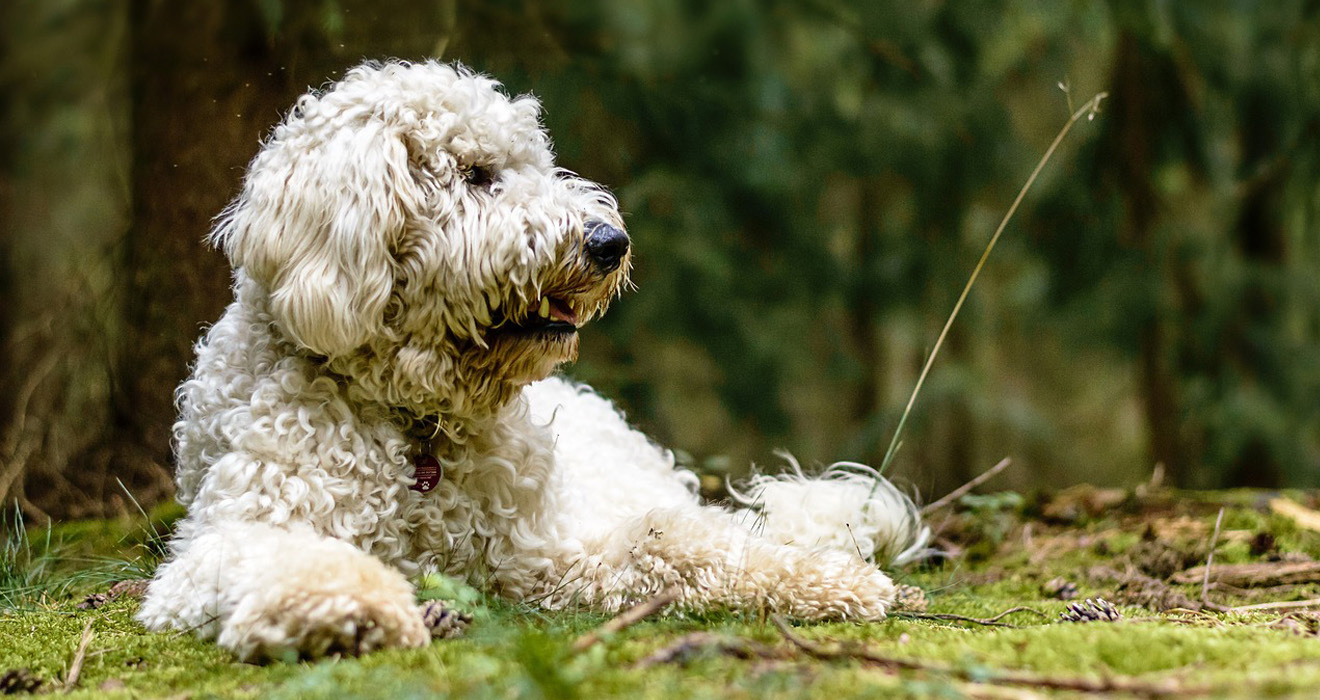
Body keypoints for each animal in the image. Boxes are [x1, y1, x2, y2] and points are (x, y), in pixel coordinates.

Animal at [136, 61, 929, 660]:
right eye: (477, 174)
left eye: (533, 165)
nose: (610, 242)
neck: (415, 419)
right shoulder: (229, 536)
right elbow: (284, 557)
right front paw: (349, 608)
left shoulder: (539, 554)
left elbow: (670, 545)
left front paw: (827, 582)